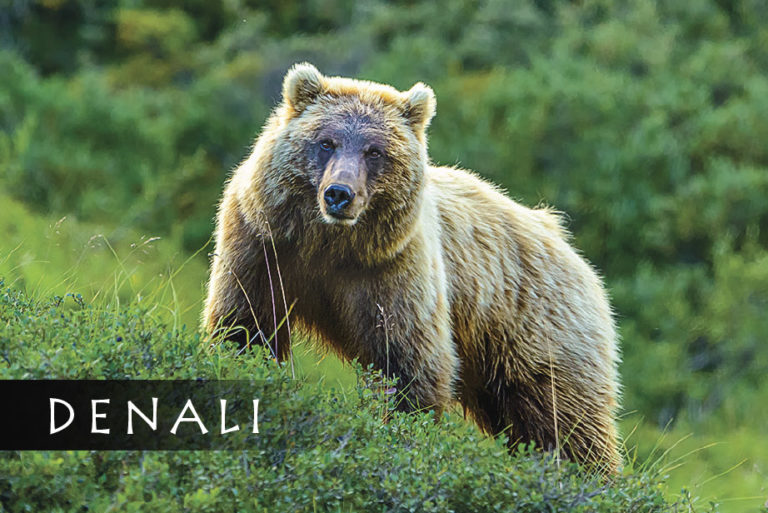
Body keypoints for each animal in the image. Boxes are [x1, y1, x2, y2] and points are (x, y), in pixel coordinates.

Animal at [203, 63, 621, 472]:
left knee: (564, 419)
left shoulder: (394, 271)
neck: (329, 244)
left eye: (375, 151)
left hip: (536, 328)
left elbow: (409, 362)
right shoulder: (263, 244)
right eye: (326, 142)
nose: (339, 194)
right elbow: (246, 325)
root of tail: (569, 247)